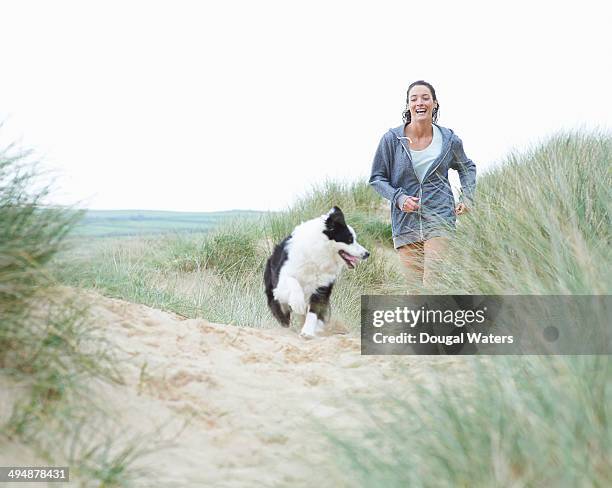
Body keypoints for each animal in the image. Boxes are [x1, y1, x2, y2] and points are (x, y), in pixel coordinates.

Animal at [262, 207, 368, 340]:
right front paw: (298, 304)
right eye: (349, 240)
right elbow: (293, 282)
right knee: (280, 309)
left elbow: (313, 311)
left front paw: (307, 332)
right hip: (273, 289)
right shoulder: (282, 279)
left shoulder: (322, 288)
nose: (367, 254)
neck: (318, 256)